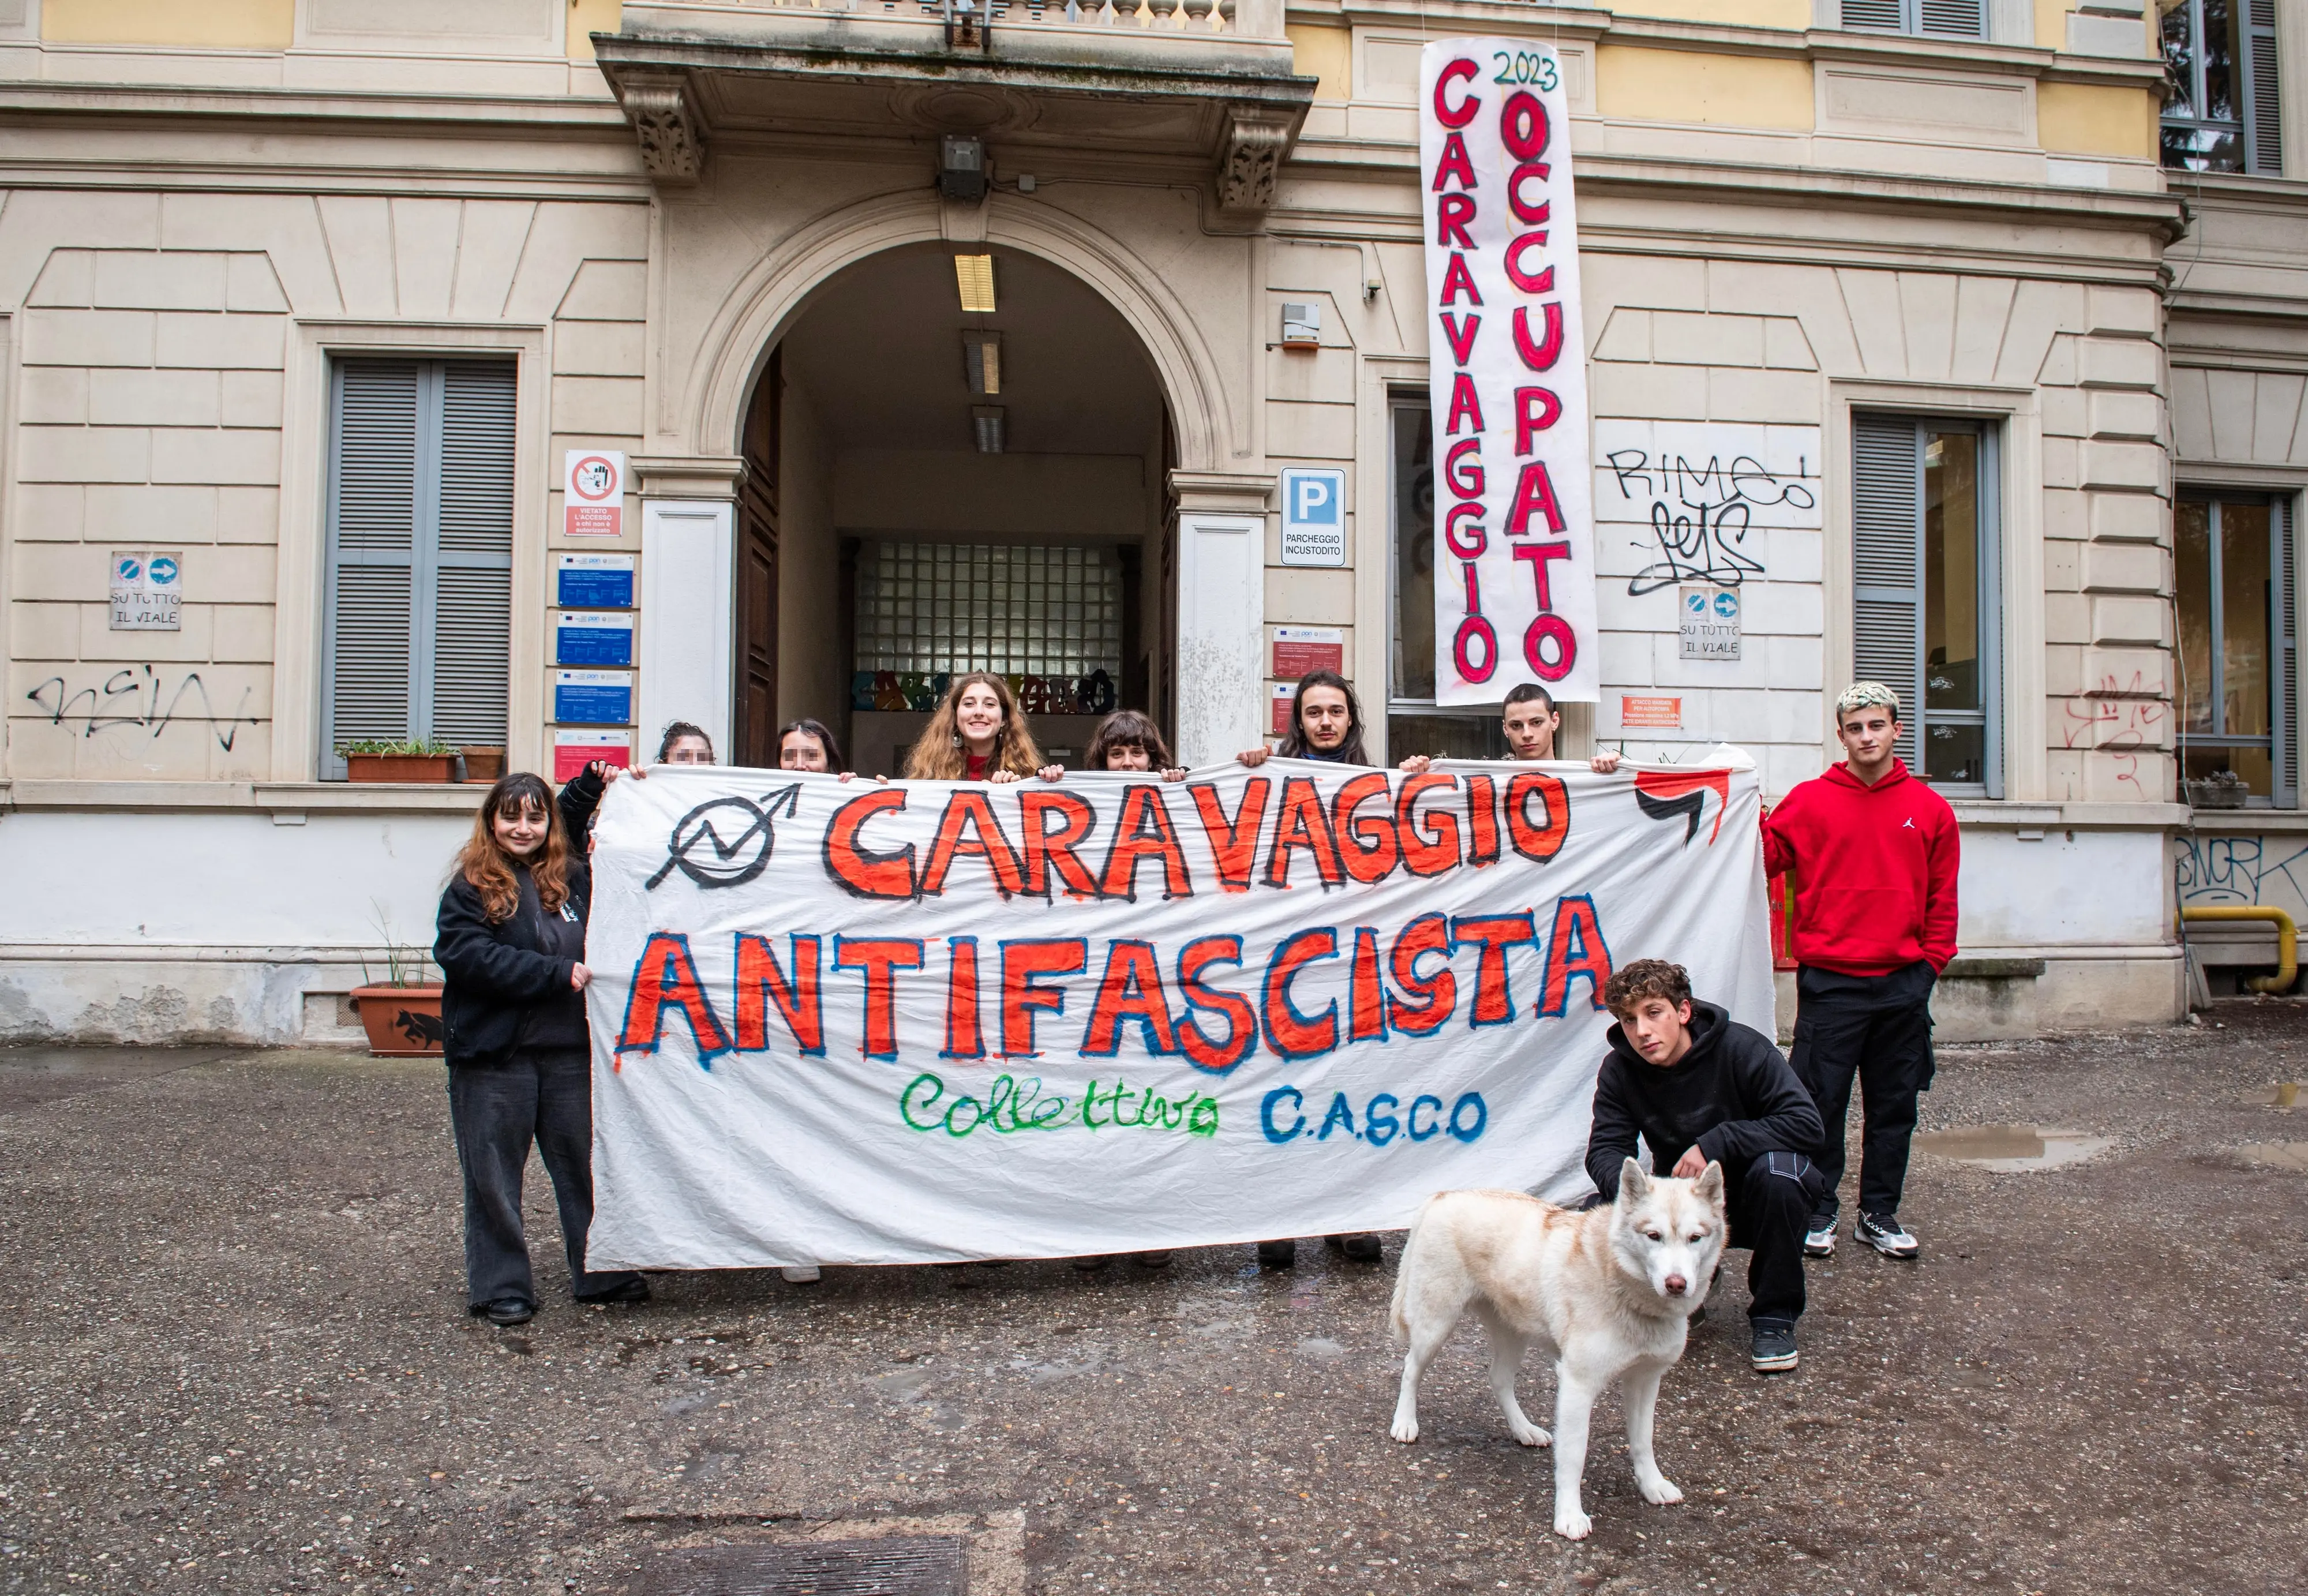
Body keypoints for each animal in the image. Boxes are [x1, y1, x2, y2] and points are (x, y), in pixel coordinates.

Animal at [1376, 1167, 1726, 1541]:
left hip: (1513, 1333)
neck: (1620, 1282)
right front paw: (1569, 1515)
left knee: (1498, 1380)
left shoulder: (1645, 1381)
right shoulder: (1578, 1385)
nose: (1677, 1284)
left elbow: (1644, 1441)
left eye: (1695, 1238)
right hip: (1436, 1326)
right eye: (1654, 1236)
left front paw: (1652, 1485)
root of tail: (1443, 1196)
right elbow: (1574, 1455)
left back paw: (1523, 1430)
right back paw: (1405, 1422)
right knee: (1411, 1369)